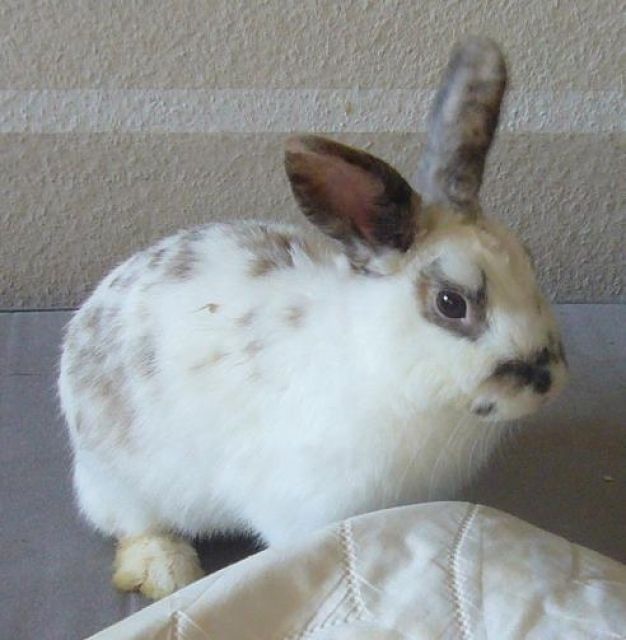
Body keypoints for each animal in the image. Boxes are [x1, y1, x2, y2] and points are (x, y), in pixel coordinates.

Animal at [58, 36, 568, 600]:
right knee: (133, 523)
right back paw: (166, 572)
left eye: (529, 262)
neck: (378, 363)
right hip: (125, 480)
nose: (548, 378)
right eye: (451, 303)